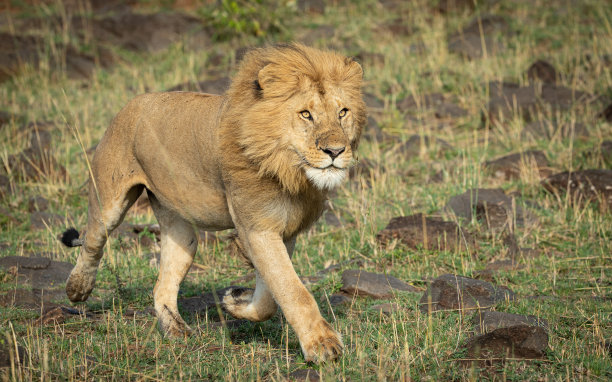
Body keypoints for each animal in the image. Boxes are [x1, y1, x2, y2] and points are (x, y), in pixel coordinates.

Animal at [61, 43, 366, 362]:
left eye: (343, 112)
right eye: (306, 114)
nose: (336, 151)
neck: (289, 169)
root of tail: (131, 104)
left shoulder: (285, 229)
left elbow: (270, 296)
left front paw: (236, 302)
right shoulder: (257, 227)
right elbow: (292, 290)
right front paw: (322, 346)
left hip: (181, 233)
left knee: (163, 285)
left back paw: (176, 330)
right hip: (108, 201)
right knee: (93, 240)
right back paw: (77, 289)